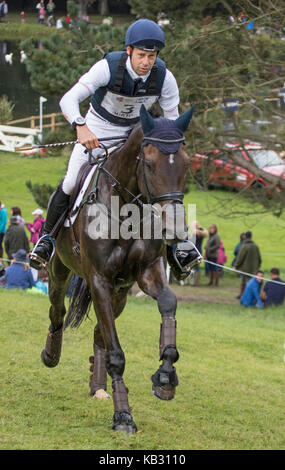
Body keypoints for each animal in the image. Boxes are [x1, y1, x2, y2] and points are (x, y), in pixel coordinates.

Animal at [41, 105, 193, 434]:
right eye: (149, 164)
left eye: (186, 163)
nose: (174, 229)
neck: (125, 211)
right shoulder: (98, 280)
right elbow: (116, 354)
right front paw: (123, 416)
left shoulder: (146, 272)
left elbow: (168, 303)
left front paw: (165, 377)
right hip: (61, 271)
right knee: (58, 311)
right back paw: (51, 354)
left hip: (120, 294)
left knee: (99, 333)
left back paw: (98, 386)